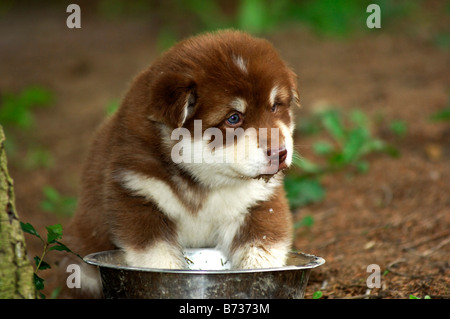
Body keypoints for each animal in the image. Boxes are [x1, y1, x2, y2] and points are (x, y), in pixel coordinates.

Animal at [63, 30, 300, 298]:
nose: (280, 153)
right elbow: (159, 259)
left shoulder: (258, 203)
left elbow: (262, 251)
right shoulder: (136, 193)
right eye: (233, 118)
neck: (203, 181)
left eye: (274, 106)